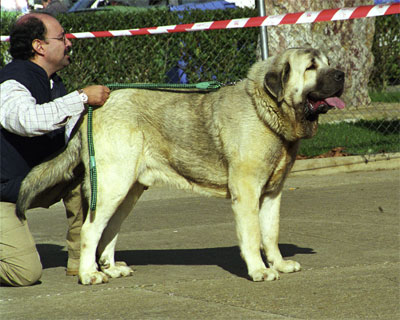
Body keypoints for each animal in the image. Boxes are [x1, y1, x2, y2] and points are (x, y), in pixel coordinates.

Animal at [17, 48, 346, 284]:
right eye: (311, 67)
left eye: (329, 63)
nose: (342, 74)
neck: (265, 107)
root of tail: (93, 106)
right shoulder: (247, 192)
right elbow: (253, 236)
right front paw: (259, 270)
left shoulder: (272, 193)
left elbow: (271, 233)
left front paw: (279, 264)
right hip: (113, 184)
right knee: (89, 230)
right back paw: (90, 275)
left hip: (128, 190)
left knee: (108, 229)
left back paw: (110, 269)